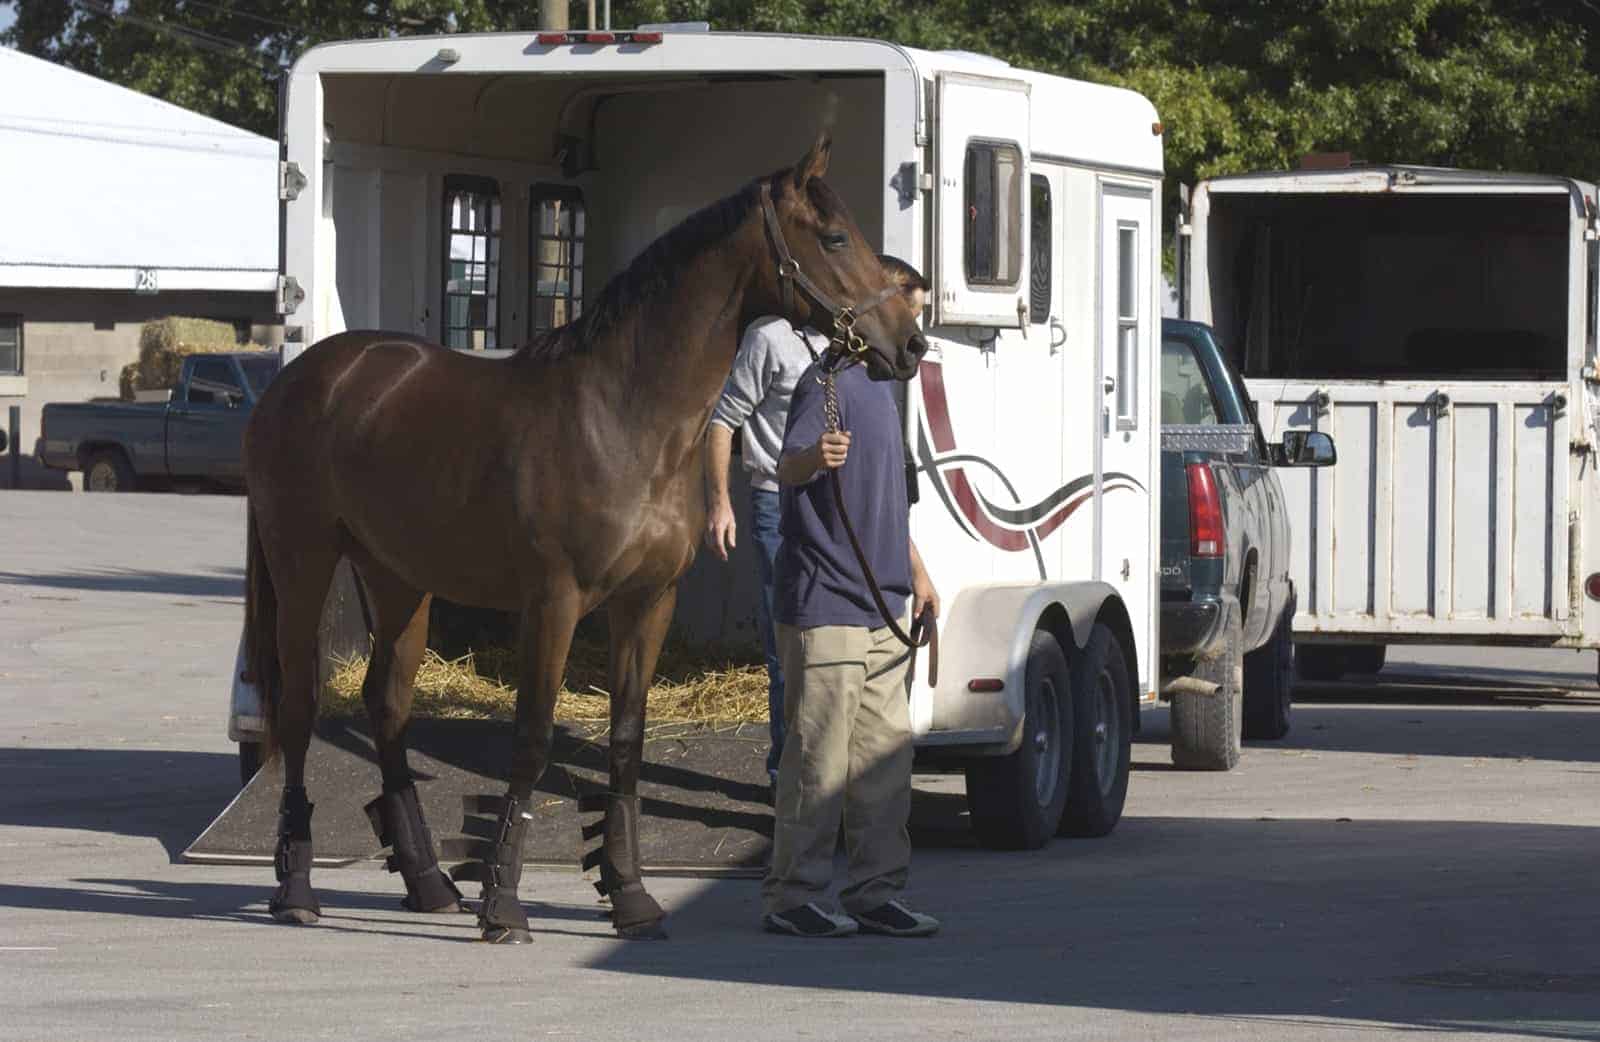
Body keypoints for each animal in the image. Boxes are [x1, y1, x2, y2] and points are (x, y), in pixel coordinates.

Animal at [242, 135, 927, 943]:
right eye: (834, 238)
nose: (908, 344)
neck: (623, 414)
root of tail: (302, 382)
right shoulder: (555, 604)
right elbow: (534, 737)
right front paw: (503, 904)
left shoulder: (647, 603)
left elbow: (626, 743)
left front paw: (629, 896)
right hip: (304, 564)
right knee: (300, 707)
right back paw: (296, 888)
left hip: (399, 579)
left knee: (386, 704)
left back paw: (428, 881)